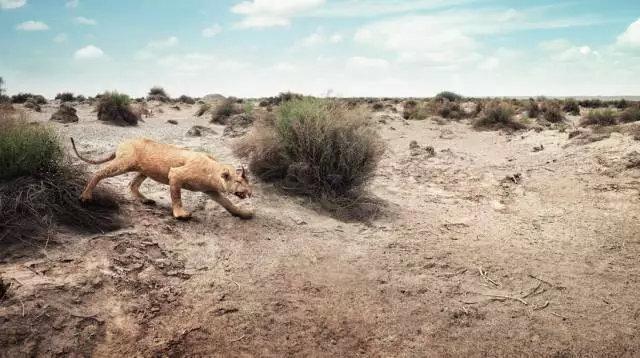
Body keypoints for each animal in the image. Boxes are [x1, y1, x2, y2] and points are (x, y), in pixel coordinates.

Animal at [69, 138, 251, 220]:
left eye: (247, 181)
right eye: (238, 181)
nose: (250, 193)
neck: (214, 171)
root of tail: (122, 142)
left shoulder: (210, 190)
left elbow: (228, 203)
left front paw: (243, 213)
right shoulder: (176, 174)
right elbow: (176, 197)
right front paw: (180, 214)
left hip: (143, 170)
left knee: (132, 184)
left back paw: (145, 200)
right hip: (124, 163)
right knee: (99, 172)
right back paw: (86, 196)